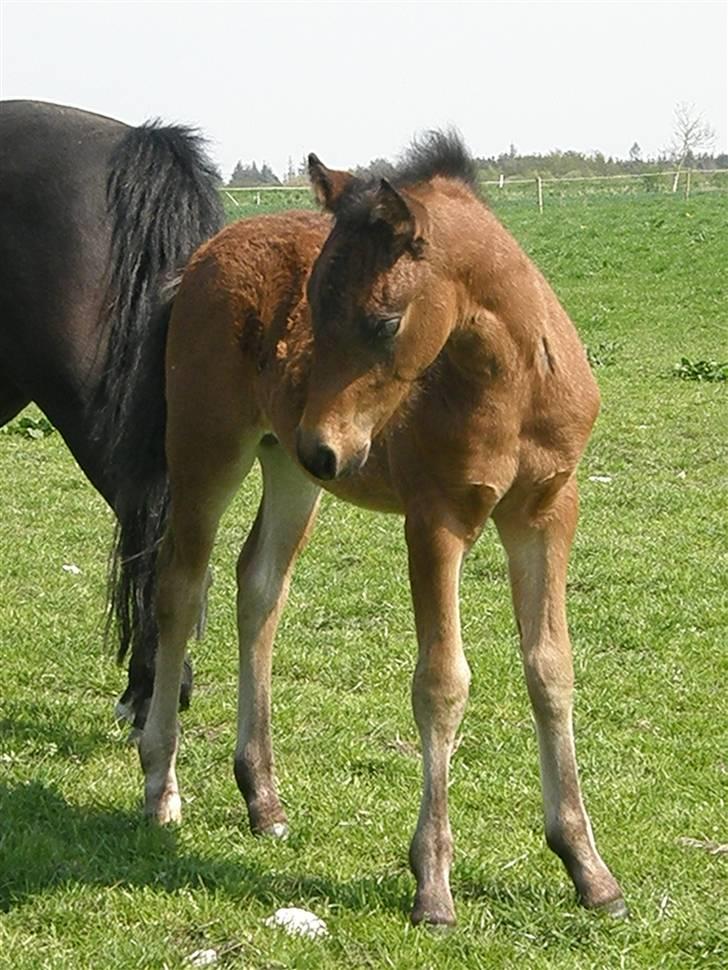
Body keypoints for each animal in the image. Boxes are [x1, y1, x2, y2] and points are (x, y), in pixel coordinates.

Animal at [141, 130, 624, 924]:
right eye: (311, 305)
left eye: (384, 322)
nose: (325, 448)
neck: (510, 384)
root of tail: (206, 251)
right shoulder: (437, 520)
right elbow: (441, 682)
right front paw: (433, 885)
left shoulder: (548, 510)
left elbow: (552, 668)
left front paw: (589, 870)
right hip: (209, 448)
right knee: (180, 590)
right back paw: (160, 787)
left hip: (287, 471)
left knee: (258, 586)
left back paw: (263, 798)